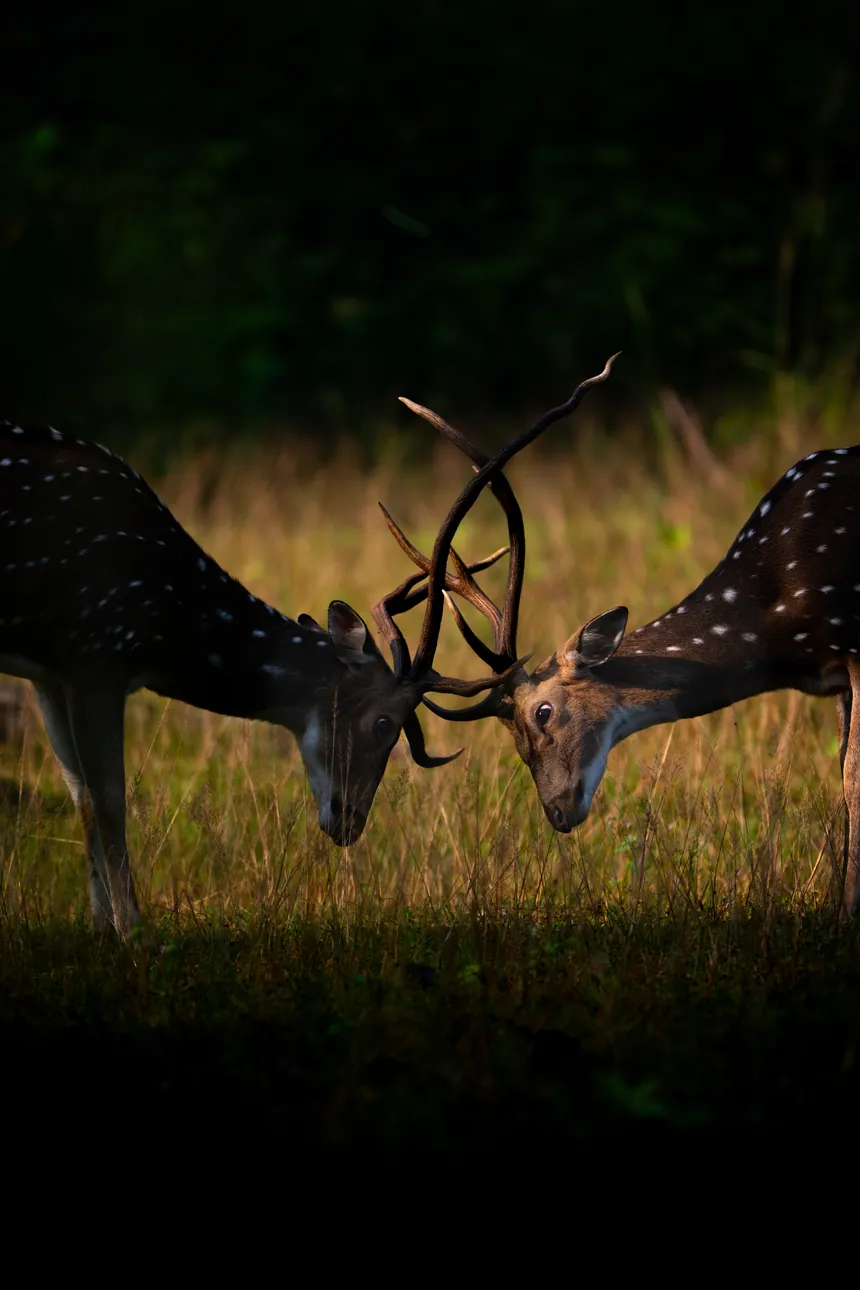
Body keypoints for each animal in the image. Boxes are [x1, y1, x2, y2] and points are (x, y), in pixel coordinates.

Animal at [382, 371, 860, 918]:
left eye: (543, 712)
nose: (558, 813)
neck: (779, 619)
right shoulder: (836, 678)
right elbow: (842, 779)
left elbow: (852, 779)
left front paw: (847, 911)